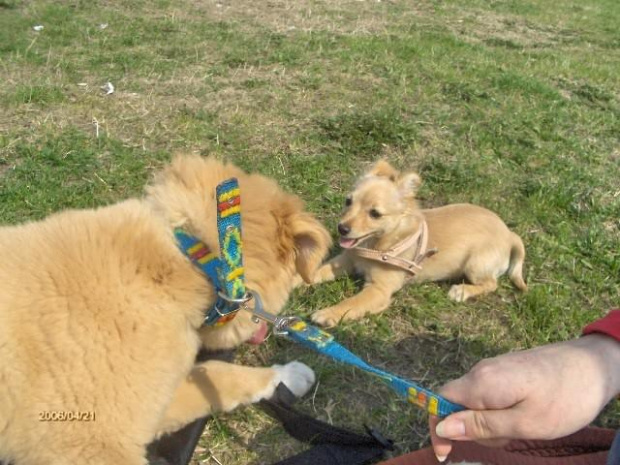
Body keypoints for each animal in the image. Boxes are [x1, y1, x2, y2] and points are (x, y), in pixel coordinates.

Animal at [310, 160, 524, 326]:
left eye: (375, 214)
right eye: (348, 201)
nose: (342, 228)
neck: (375, 246)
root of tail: (509, 233)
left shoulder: (379, 290)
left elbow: (352, 303)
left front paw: (328, 313)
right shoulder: (346, 260)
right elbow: (316, 271)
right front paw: (301, 279)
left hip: (475, 265)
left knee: (491, 283)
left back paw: (462, 291)